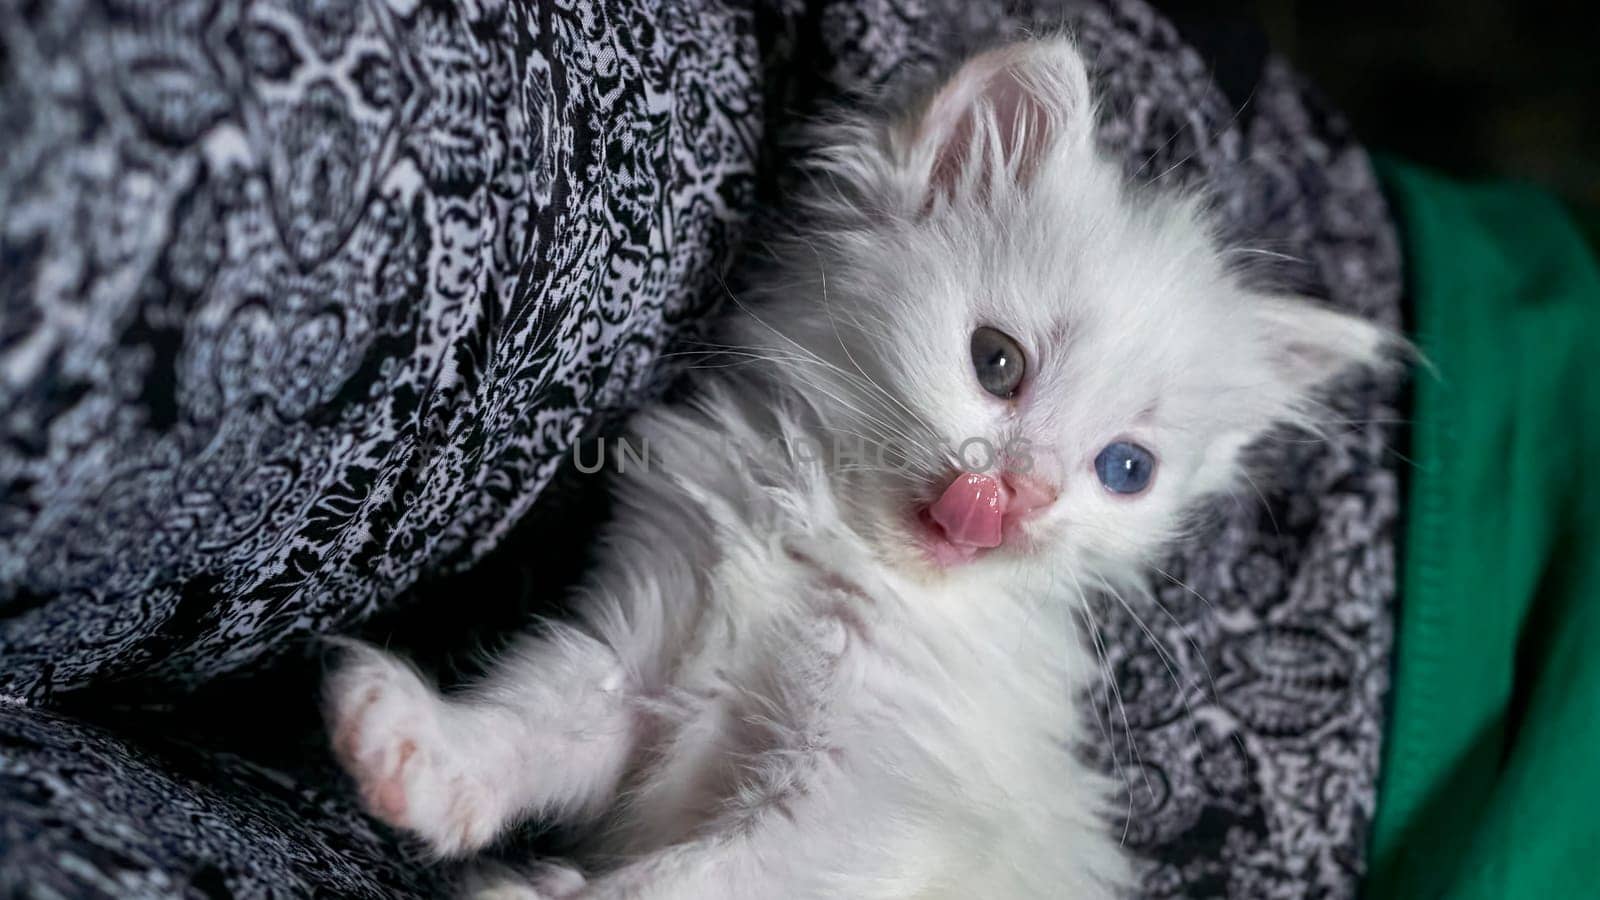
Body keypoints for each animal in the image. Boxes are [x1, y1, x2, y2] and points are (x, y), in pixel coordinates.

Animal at [321, 36, 1388, 896]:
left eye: (1125, 470)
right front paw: (429, 753)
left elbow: (680, 882)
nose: (1021, 496)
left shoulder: (866, 810)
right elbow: (542, 718)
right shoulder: (647, 649)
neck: (834, 556)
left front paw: (540, 892)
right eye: (996, 363)